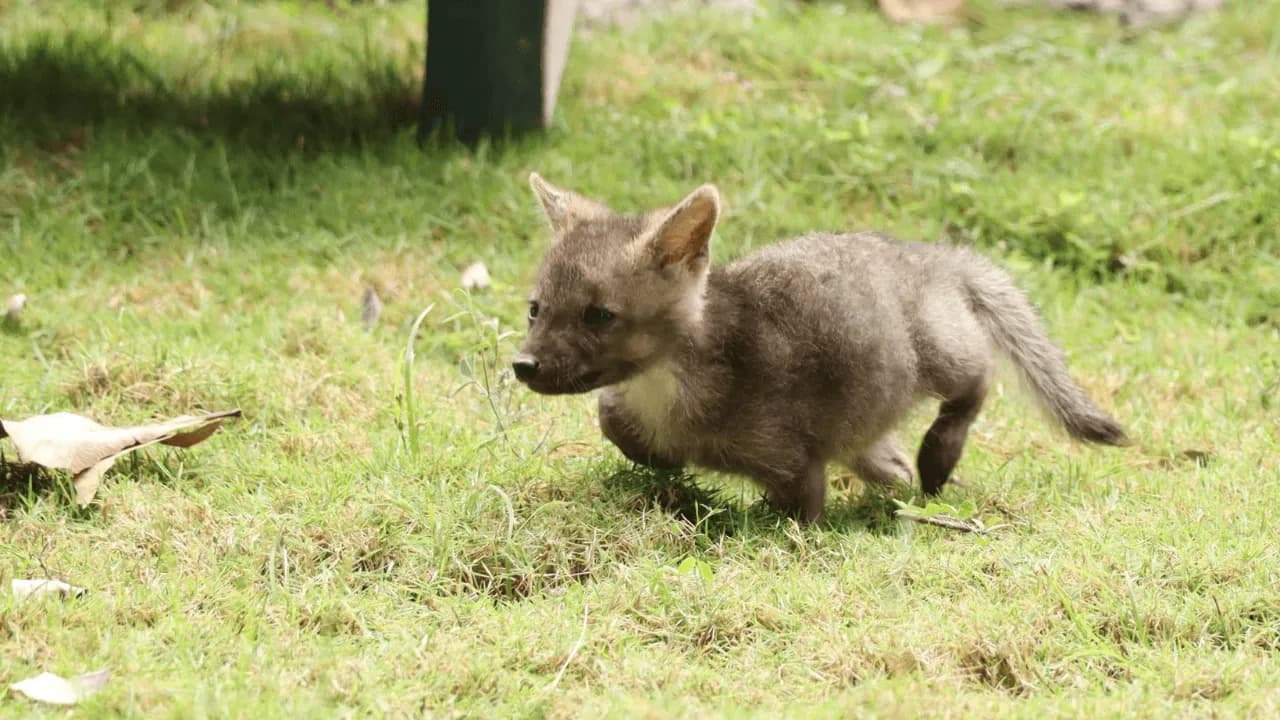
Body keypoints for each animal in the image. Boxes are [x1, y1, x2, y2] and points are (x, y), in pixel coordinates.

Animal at [512, 173, 1128, 523]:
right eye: (535, 308)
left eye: (599, 315)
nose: (523, 365)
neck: (671, 389)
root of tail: (936, 255)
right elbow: (613, 417)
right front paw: (658, 458)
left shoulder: (794, 464)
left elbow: (800, 517)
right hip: (870, 421)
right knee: (892, 463)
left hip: (944, 354)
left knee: (977, 383)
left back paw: (939, 453)